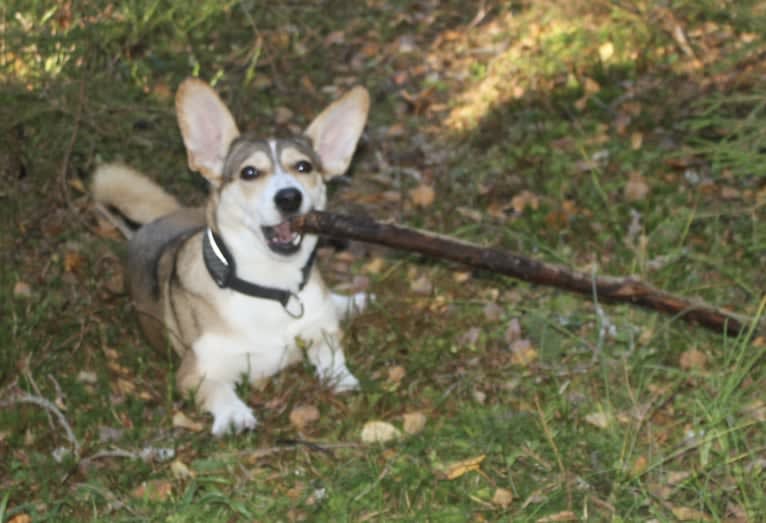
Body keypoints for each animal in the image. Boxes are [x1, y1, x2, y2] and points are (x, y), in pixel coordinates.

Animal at [93, 78, 372, 436]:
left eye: (304, 167)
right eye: (249, 172)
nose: (289, 197)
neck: (271, 288)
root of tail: (154, 221)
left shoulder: (320, 331)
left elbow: (330, 351)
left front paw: (341, 377)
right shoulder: (195, 371)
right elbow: (219, 390)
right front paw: (233, 414)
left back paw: (355, 302)